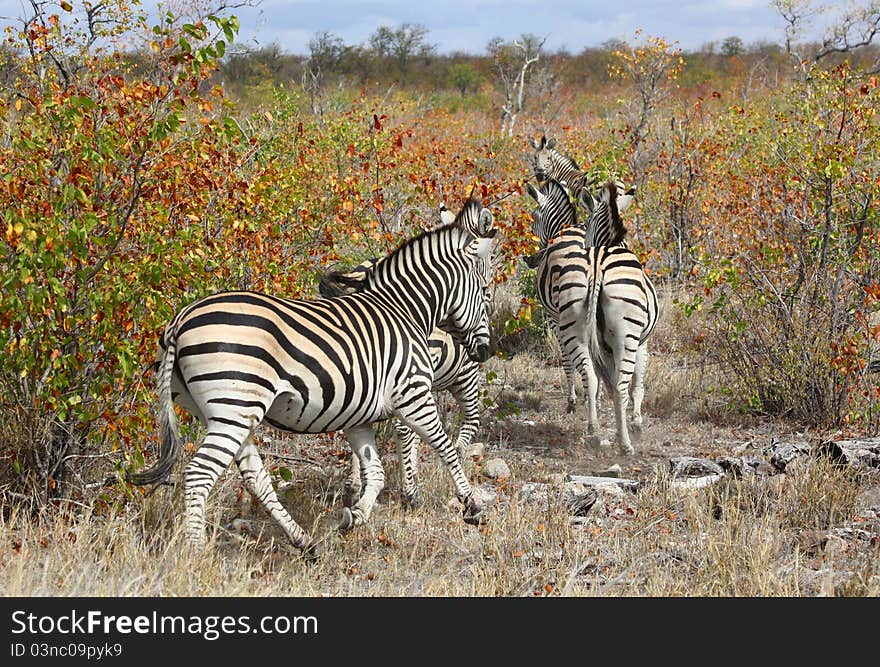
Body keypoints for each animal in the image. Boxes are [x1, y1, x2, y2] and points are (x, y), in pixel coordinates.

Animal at [125, 211, 496, 556]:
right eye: (485, 292)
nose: (486, 351)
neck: (403, 311)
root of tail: (180, 321)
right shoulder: (413, 394)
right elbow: (445, 447)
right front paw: (471, 505)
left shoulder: (359, 414)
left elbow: (375, 472)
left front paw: (354, 517)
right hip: (235, 407)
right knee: (200, 473)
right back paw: (198, 552)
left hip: (223, 412)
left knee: (255, 476)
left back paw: (303, 541)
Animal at [524, 177, 656, 456]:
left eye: (533, 217)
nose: (530, 258)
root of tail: (596, 263)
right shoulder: (642, 339)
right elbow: (637, 379)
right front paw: (635, 421)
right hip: (617, 333)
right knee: (616, 383)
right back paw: (623, 442)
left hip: (575, 322)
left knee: (591, 373)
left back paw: (594, 429)